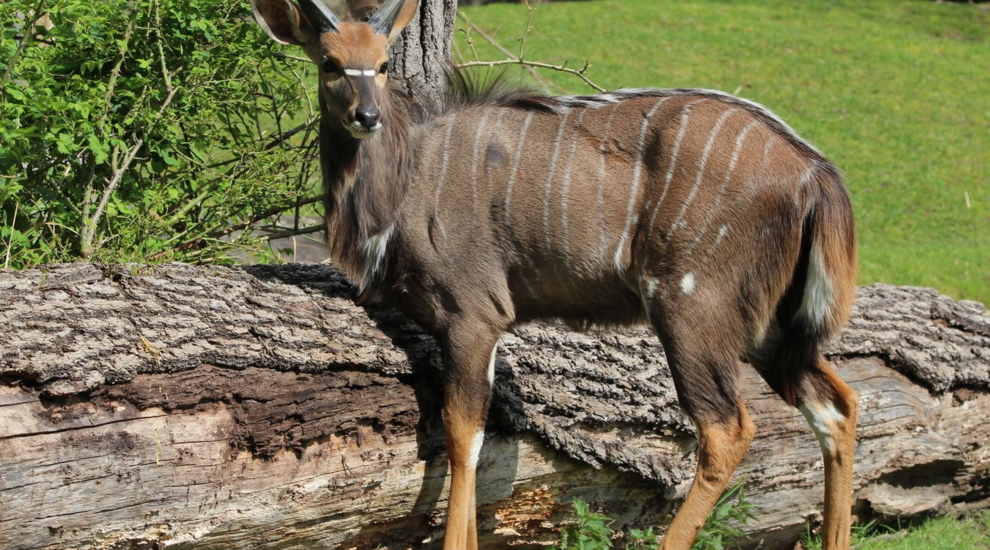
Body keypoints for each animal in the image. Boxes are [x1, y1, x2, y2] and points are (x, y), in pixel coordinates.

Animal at [254, 0, 860, 548]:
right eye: (330, 62)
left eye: (381, 65)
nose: (366, 117)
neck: (407, 177)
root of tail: (815, 173)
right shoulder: (483, 326)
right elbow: (480, 440)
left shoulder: (472, 313)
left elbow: (462, 433)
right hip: (766, 328)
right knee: (837, 406)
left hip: (690, 310)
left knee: (727, 429)